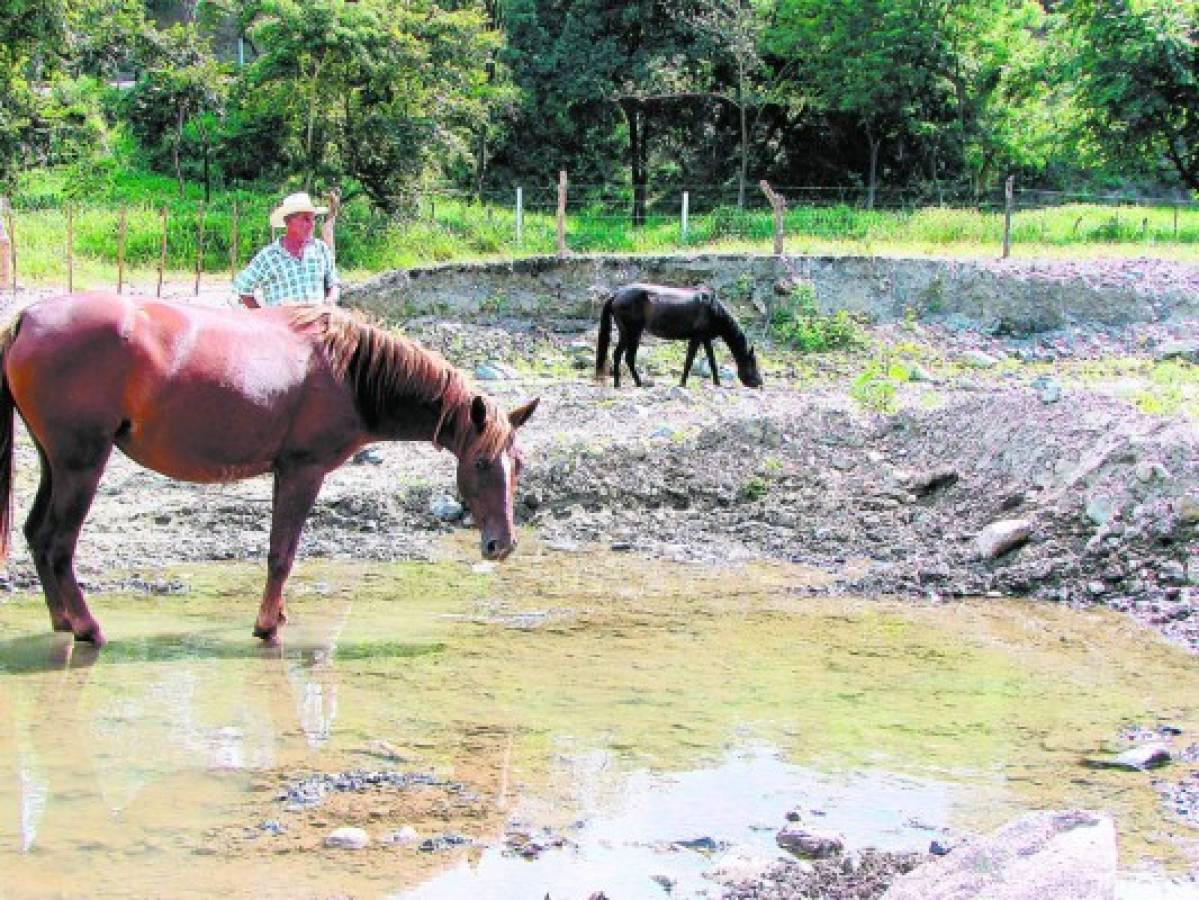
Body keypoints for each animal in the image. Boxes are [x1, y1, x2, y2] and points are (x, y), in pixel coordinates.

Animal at [0, 296, 539, 647]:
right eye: (481, 463)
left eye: (519, 465)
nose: (502, 545)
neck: (346, 370)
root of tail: (27, 318)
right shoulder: (302, 471)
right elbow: (282, 555)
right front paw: (266, 626)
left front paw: (276, 615)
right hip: (82, 464)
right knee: (58, 545)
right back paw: (88, 629)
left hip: (55, 462)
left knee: (37, 536)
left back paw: (62, 623)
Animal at [594, 281, 762, 388]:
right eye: (753, 362)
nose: (759, 383)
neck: (713, 309)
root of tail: (616, 294)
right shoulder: (696, 338)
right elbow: (689, 360)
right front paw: (682, 383)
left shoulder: (705, 339)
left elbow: (712, 361)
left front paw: (717, 383)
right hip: (630, 332)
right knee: (619, 355)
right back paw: (619, 383)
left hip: (633, 333)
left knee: (628, 358)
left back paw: (637, 383)